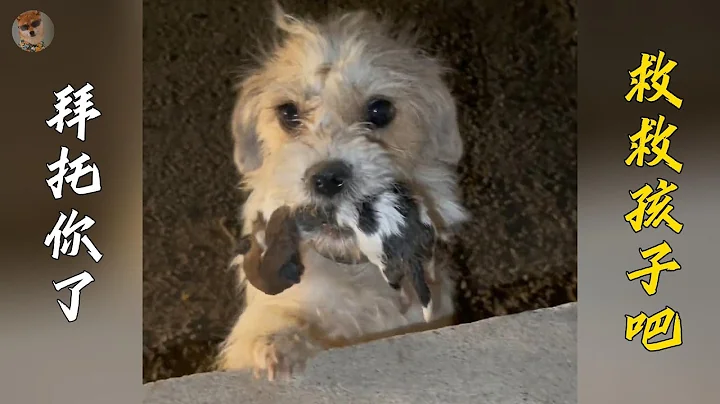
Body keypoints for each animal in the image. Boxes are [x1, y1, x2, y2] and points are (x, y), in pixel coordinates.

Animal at [217, 4, 470, 380]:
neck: (351, 272)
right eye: (288, 112)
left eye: (380, 110)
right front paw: (276, 343)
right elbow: (270, 322)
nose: (326, 178)